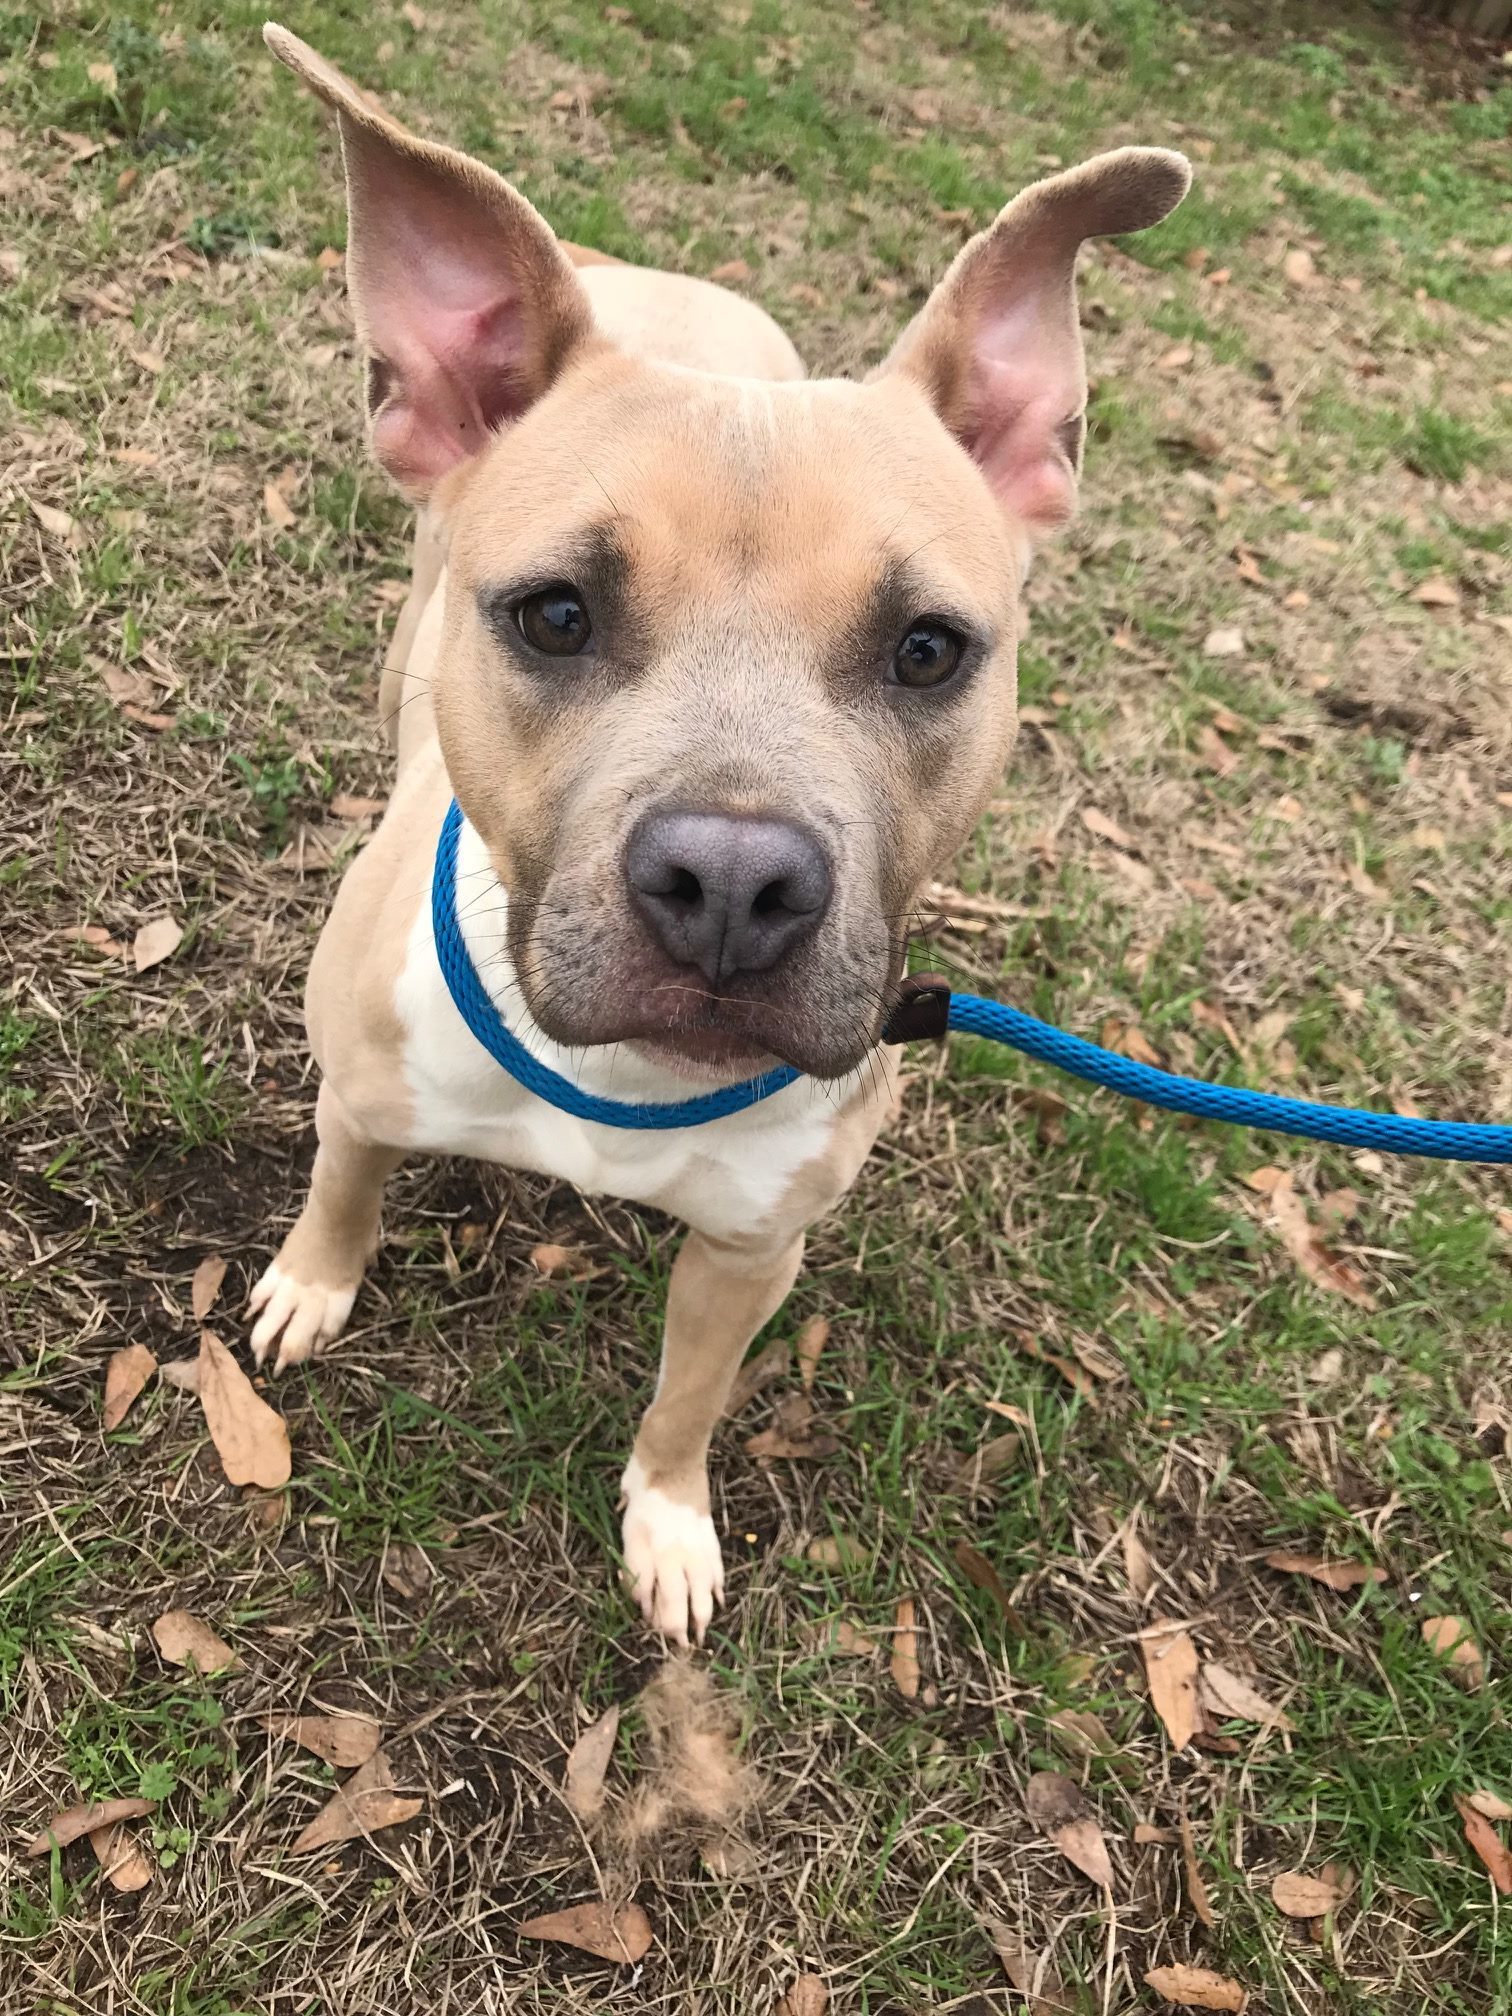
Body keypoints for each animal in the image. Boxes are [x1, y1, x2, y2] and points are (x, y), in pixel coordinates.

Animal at [252, 23, 1193, 1645]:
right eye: (554, 616)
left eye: (930, 650)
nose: (732, 888)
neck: (618, 1078)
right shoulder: (362, 1096)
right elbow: (343, 1187)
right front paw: (314, 1282)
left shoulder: (755, 1254)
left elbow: (688, 1403)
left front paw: (672, 1523)